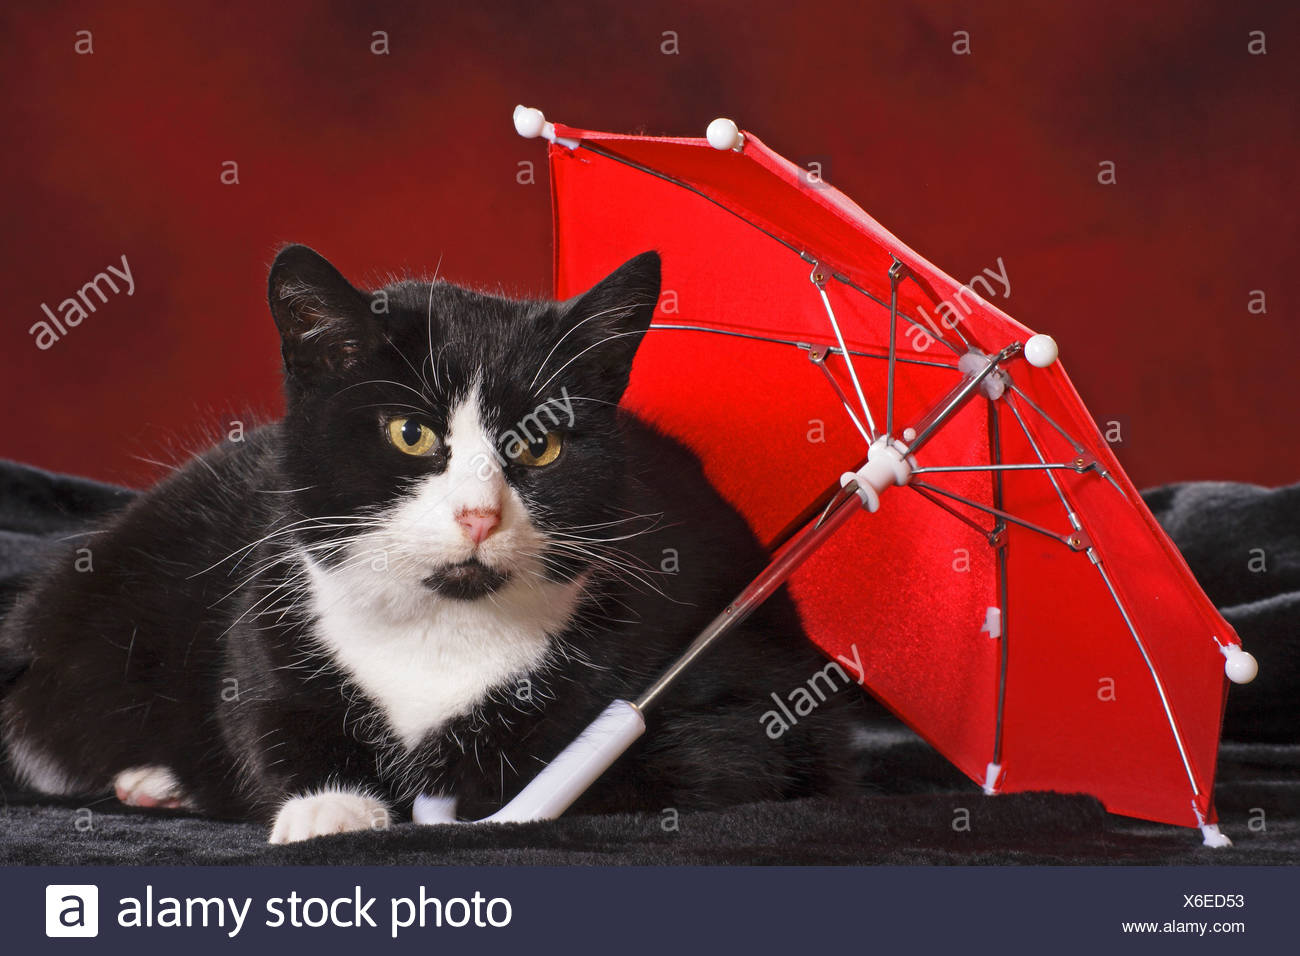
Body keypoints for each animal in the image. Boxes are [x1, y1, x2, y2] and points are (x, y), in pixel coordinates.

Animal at [2, 247, 863, 842]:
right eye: (410, 434)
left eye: (542, 445)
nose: (479, 515)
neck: (442, 623)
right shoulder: (268, 608)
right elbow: (263, 722)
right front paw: (331, 811)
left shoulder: (755, 687)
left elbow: (695, 759)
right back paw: (154, 778)